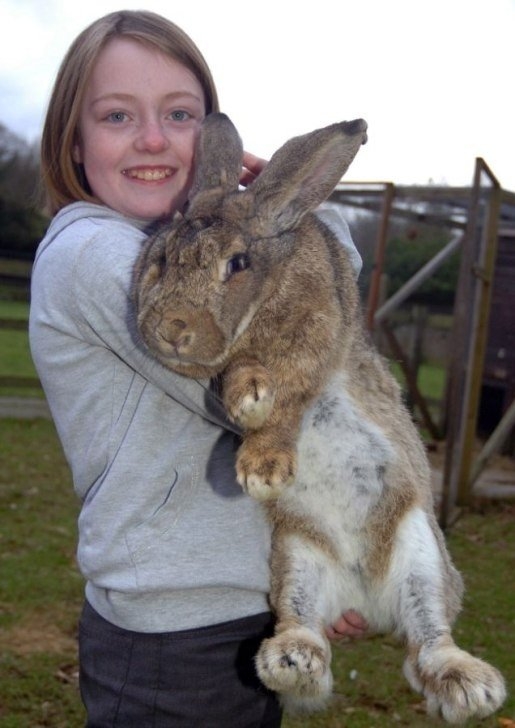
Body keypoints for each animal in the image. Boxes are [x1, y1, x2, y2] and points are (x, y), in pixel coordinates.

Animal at [134, 114, 508, 724]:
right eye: (162, 258)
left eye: (237, 263)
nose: (170, 328)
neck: (265, 297)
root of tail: (362, 599)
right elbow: (238, 376)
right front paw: (248, 394)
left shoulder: (315, 339)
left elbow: (289, 398)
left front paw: (263, 461)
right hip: (295, 560)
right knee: (307, 631)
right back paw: (292, 661)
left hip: (421, 551)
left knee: (427, 640)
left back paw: (470, 686)